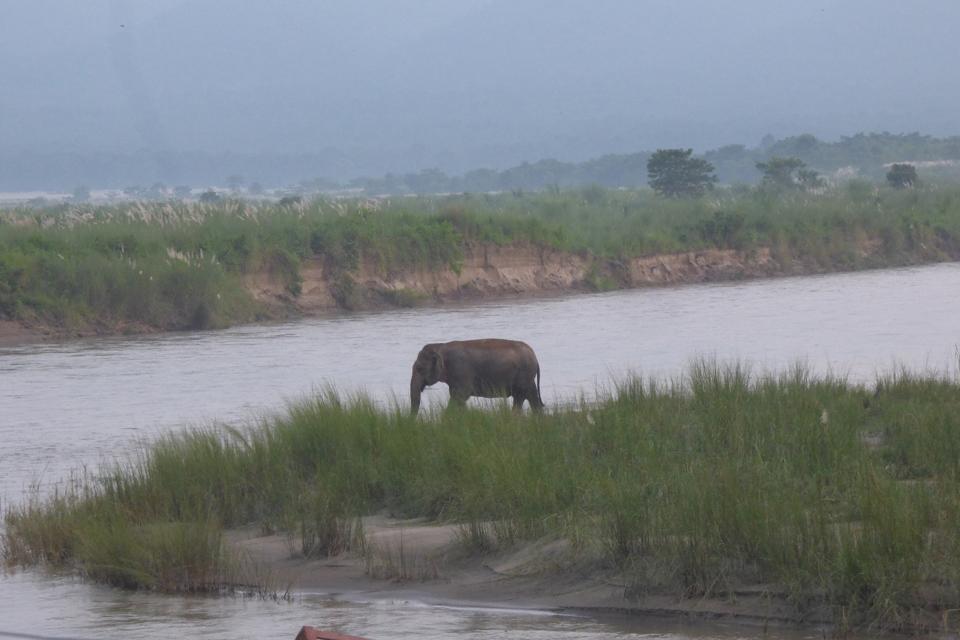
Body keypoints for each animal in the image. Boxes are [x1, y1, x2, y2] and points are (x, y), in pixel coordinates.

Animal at [408, 340, 544, 416]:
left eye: (419, 368)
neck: (440, 347)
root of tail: (535, 357)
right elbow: (459, 398)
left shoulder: (460, 370)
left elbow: (459, 396)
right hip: (526, 377)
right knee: (528, 398)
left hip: (524, 375)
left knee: (522, 398)